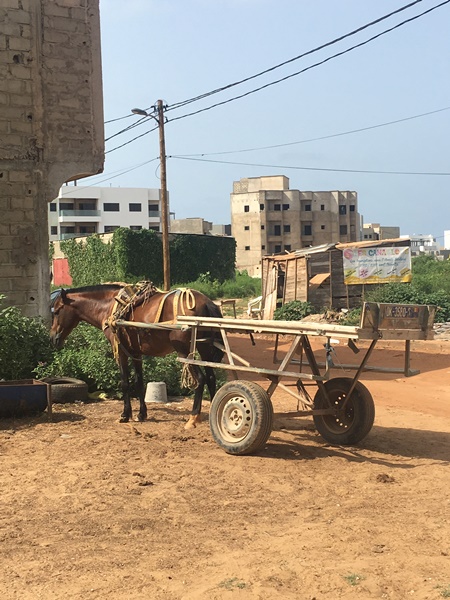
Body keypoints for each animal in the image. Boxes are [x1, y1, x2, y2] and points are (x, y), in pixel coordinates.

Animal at [49, 282, 223, 426]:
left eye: (57, 312)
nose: (52, 338)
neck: (111, 306)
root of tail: (206, 302)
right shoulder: (136, 353)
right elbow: (139, 382)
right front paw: (141, 414)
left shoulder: (121, 352)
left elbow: (125, 383)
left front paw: (125, 415)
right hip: (204, 349)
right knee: (211, 378)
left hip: (185, 352)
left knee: (200, 380)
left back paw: (193, 417)